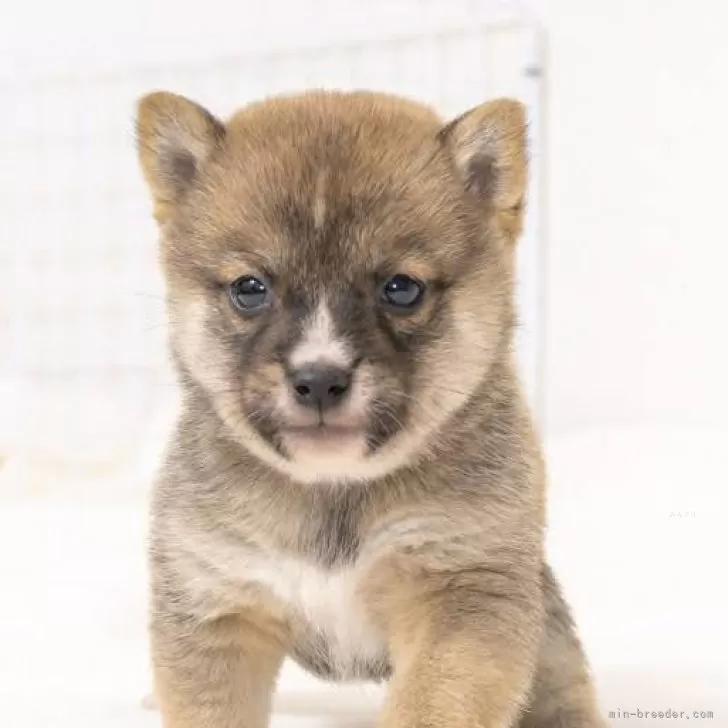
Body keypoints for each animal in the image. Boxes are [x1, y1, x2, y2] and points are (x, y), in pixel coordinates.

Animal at [138, 89, 608, 728]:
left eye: (401, 288)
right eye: (249, 288)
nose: (318, 380)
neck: (333, 493)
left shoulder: (460, 595)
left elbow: (433, 706)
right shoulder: (217, 606)